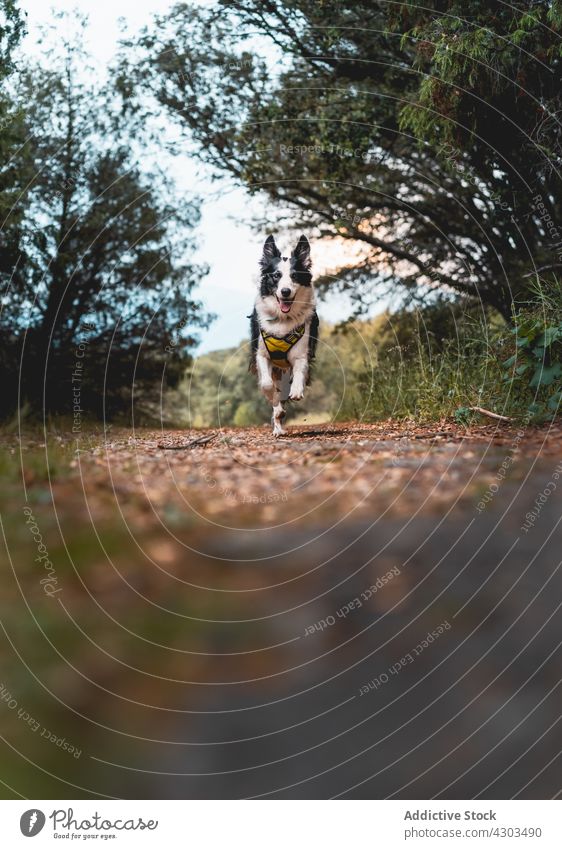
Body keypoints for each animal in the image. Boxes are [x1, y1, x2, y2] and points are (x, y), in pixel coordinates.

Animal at [248, 237, 318, 440]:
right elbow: (267, 385)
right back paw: (278, 425)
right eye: (276, 275)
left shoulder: (302, 353)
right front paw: (275, 403)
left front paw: (296, 390)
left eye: (294, 276)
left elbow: (300, 372)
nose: (285, 291)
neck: (282, 319)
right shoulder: (261, 355)